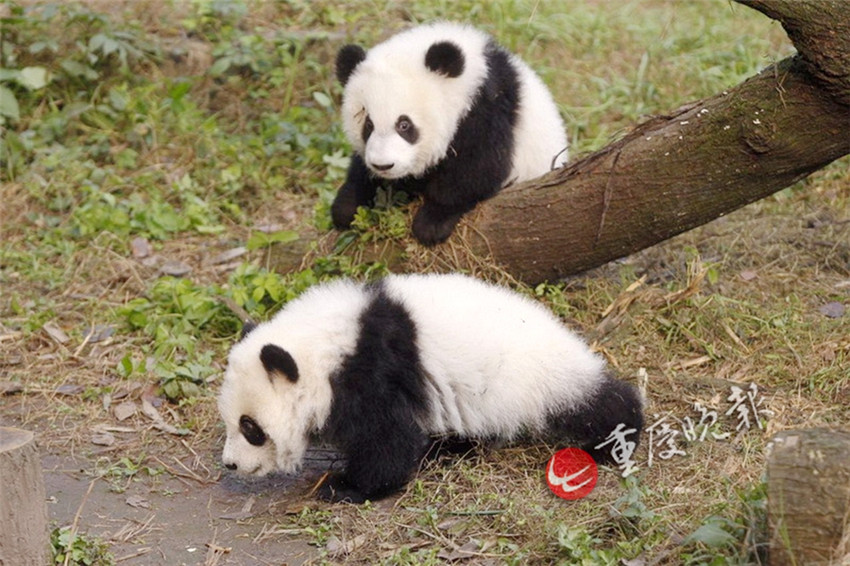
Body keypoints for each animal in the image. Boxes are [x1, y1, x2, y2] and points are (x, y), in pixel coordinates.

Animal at [218, 273, 644, 503]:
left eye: (251, 428)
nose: (230, 464)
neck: (324, 345)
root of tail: (568, 338)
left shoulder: (372, 373)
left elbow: (388, 440)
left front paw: (345, 486)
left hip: (540, 378)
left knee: (596, 404)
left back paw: (616, 439)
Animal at [331, 22, 568, 246]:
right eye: (368, 125)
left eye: (404, 125)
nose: (383, 166)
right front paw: (347, 205)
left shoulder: (484, 109)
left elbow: (478, 168)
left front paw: (432, 223)